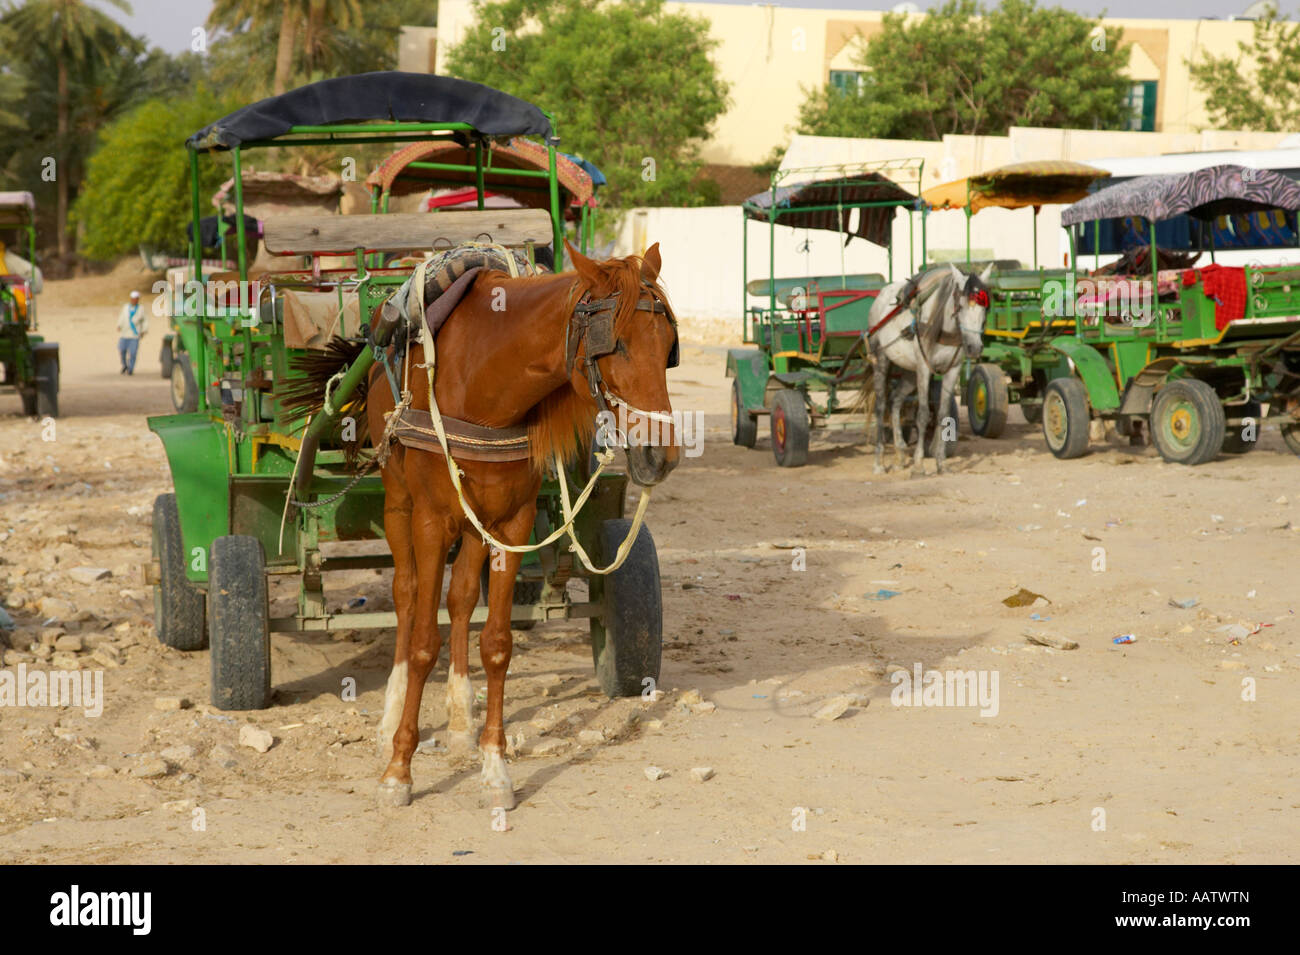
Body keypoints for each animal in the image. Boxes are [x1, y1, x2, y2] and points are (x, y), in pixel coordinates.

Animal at [289, 241, 680, 810]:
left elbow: (495, 642)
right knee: (407, 595)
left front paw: (494, 766)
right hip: (399, 501)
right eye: (618, 345)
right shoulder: (431, 520)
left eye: (669, 345)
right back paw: (391, 713)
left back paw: (458, 719)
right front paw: (399, 770)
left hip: (478, 524)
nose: (661, 455)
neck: (487, 384)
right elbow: (423, 640)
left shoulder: (512, 523)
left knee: (458, 602)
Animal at [864, 263, 992, 475]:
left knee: (895, 401)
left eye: (985, 308)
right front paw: (918, 465)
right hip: (882, 360)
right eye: (961, 306)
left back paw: (899, 455)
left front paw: (941, 463)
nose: (974, 348)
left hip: (909, 372)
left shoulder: (952, 370)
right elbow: (923, 415)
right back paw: (879, 462)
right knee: (881, 406)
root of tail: (881, 295)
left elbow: (943, 413)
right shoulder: (924, 368)